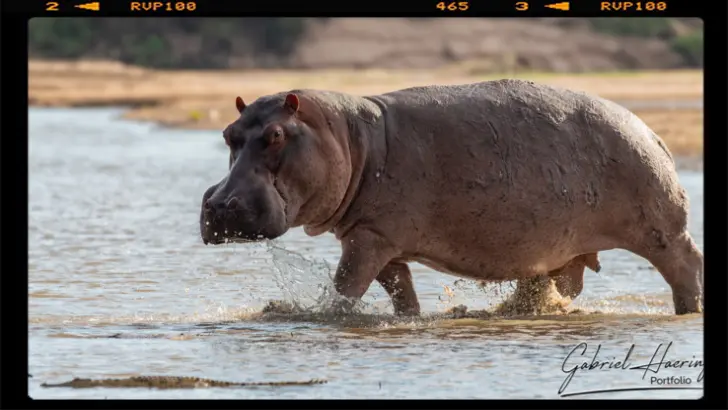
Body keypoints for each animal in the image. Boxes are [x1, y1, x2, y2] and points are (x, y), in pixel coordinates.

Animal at [199, 79, 704, 316]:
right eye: (227, 133)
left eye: (276, 135)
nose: (220, 204)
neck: (347, 135)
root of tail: (650, 131)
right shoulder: (377, 238)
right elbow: (399, 292)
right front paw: (410, 317)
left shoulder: (370, 237)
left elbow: (346, 287)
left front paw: (326, 314)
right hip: (554, 249)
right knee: (552, 285)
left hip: (662, 230)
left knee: (686, 268)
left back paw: (687, 312)